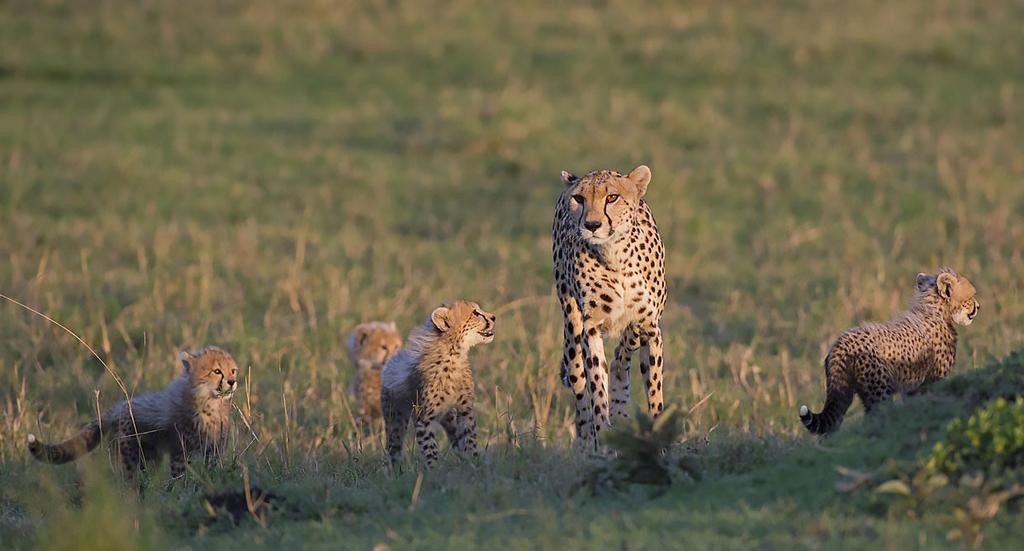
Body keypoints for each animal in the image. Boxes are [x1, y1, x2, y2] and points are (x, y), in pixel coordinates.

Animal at [557, 162, 667, 446]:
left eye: (612, 197)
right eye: (579, 199)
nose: (592, 224)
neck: (616, 255)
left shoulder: (650, 326)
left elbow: (654, 390)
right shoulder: (591, 327)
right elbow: (596, 385)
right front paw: (602, 437)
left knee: (622, 354)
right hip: (571, 325)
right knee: (579, 384)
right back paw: (587, 437)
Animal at [798, 266, 974, 432]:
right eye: (972, 296)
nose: (977, 306)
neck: (934, 311)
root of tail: (841, 342)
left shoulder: (913, 387)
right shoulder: (932, 380)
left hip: (843, 393)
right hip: (879, 391)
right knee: (876, 416)